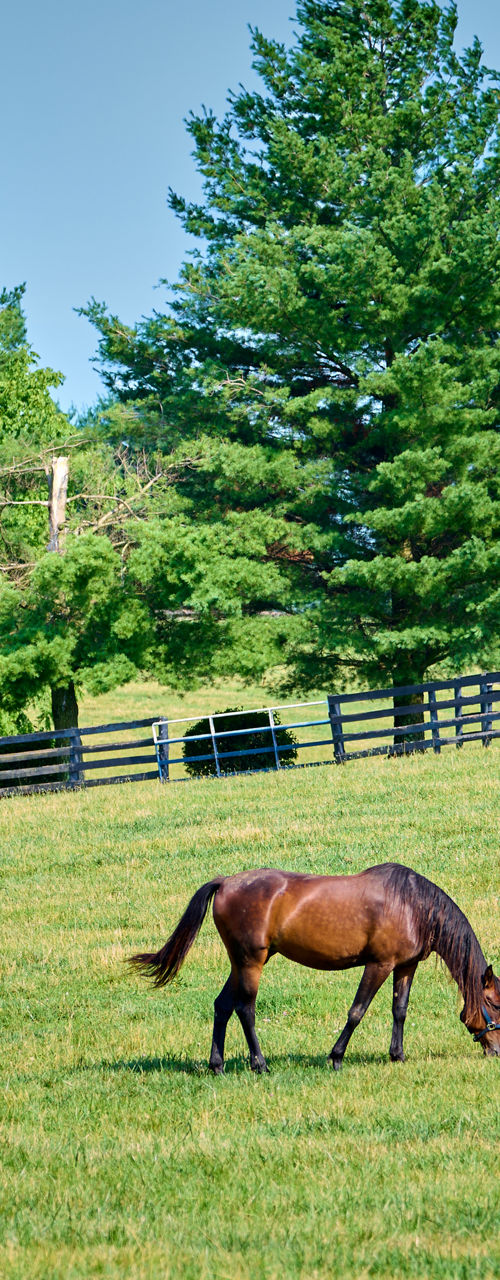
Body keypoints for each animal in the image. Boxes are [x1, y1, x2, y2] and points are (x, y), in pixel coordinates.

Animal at [129, 863, 500, 1072]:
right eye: (495, 1003)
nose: (496, 1051)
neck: (411, 904)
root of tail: (226, 882)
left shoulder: (404, 966)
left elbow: (400, 1010)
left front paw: (398, 1056)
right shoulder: (378, 965)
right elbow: (357, 1011)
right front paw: (336, 1057)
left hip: (240, 962)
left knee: (222, 1006)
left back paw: (216, 1066)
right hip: (251, 962)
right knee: (245, 1009)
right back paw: (260, 1065)